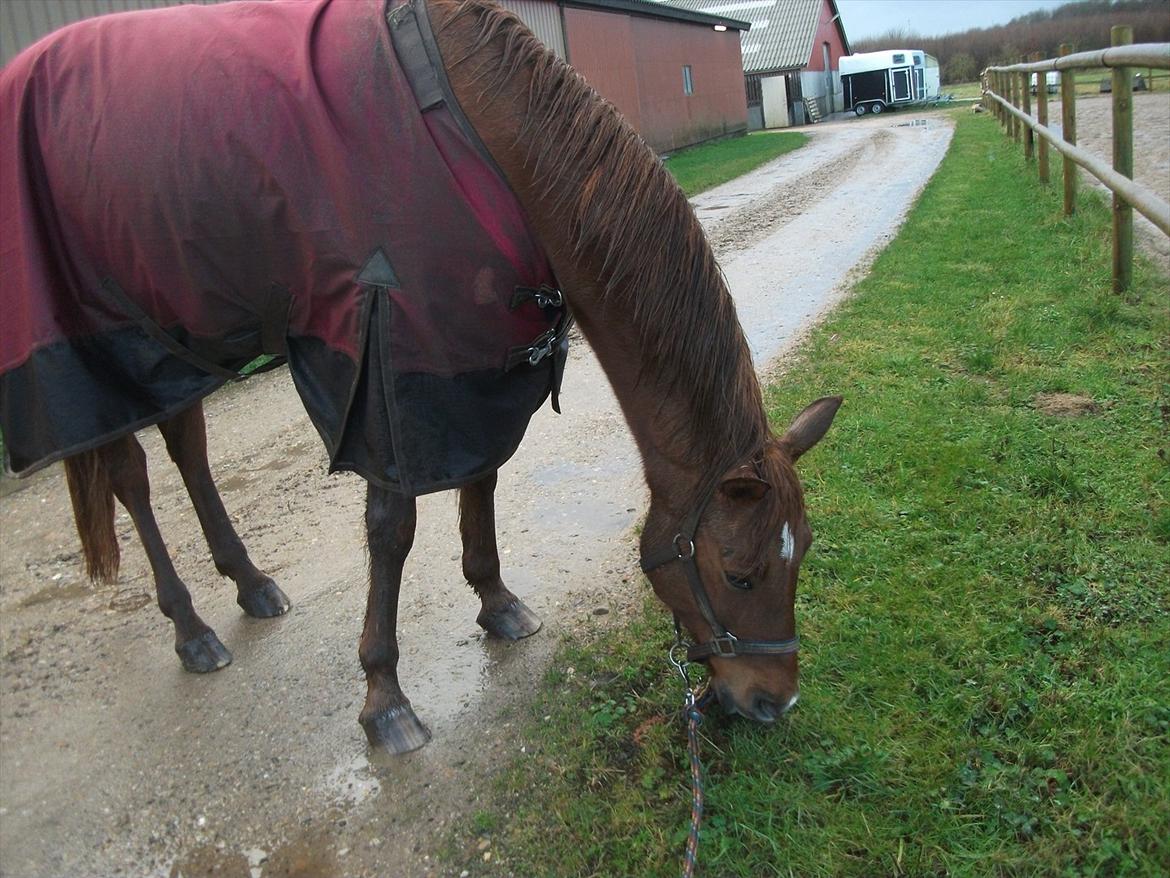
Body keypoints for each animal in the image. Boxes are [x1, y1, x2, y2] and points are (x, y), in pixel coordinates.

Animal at [0, 0, 841, 754]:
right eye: (739, 575)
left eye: (802, 552)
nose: (775, 702)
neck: (482, 138)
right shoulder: (391, 367)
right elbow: (392, 530)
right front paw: (385, 697)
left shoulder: (468, 363)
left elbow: (481, 481)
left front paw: (497, 602)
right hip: (105, 349)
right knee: (132, 478)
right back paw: (191, 627)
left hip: (177, 333)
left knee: (188, 452)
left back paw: (250, 584)